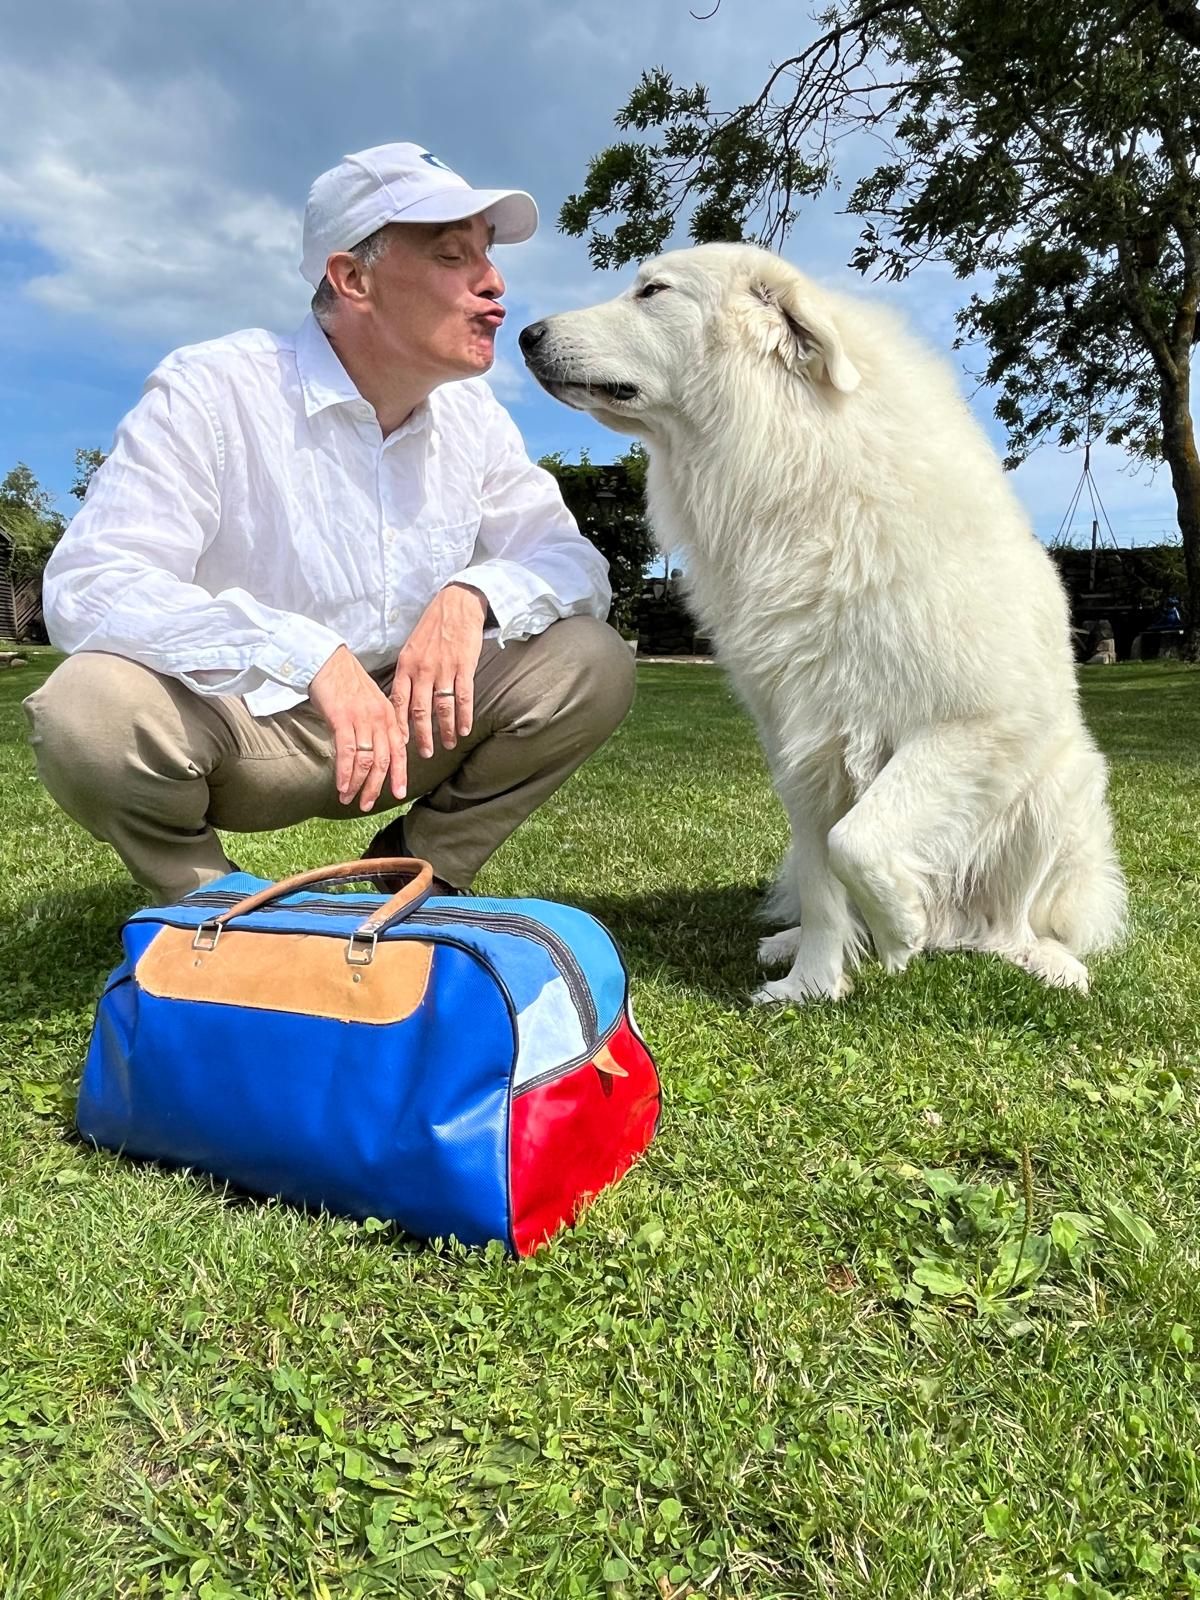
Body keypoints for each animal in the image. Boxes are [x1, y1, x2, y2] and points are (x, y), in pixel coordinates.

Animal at [521, 243, 1132, 998]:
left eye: (653, 292)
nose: (525, 334)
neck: (794, 461)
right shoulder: (803, 748)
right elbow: (823, 877)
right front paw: (809, 987)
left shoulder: (977, 724)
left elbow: (858, 842)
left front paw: (900, 928)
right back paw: (795, 944)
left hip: (1056, 787)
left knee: (1002, 923)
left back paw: (1031, 957)